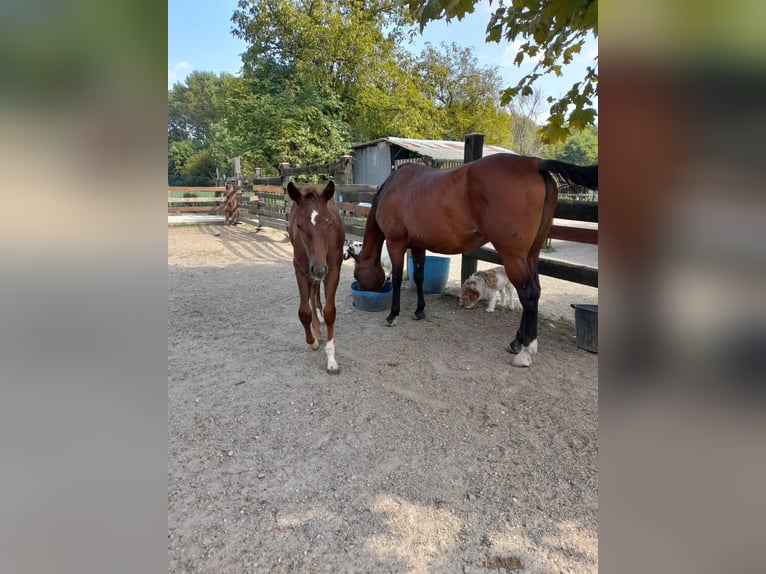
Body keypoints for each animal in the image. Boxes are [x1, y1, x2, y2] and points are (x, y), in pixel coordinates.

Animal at [290, 182, 346, 376]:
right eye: (299, 226)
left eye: (328, 223)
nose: (319, 269)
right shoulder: (300, 271)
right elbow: (303, 312)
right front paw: (312, 341)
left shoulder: (333, 270)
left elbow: (330, 312)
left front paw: (331, 360)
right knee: (312, 291)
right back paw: (316, 327)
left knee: (316, 290)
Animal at [354, 154, 600, 368]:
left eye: (357, 273)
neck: (397, 186)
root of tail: (535, 163)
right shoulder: (418, 245)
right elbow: (419, 277)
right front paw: (420, 311)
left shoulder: (396, 243)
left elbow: (396, 278)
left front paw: (392, 315)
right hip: (531, 255)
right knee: (535, 292)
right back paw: (517, 342)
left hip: (514, 256)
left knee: (528, 294)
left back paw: (525, 349)